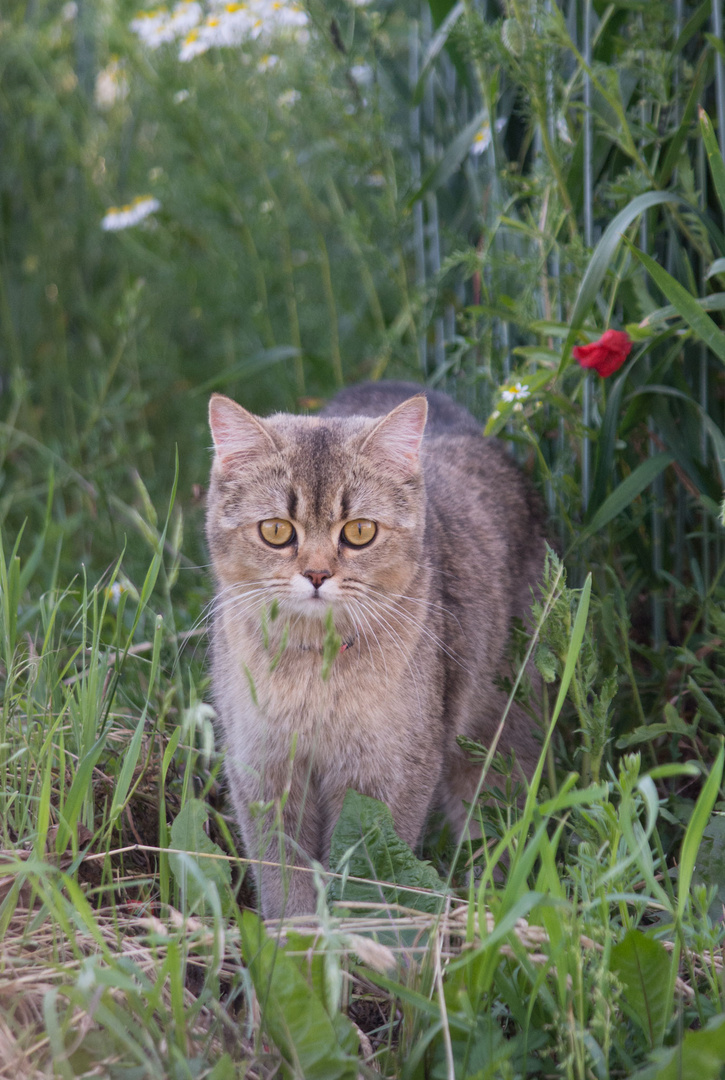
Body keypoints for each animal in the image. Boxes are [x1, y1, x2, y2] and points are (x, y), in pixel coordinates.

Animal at [205, 384, 544, 915]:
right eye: (276, 531)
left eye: (359, 531)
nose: (317, 574)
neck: (314, 672)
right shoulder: (264, 775)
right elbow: (285, 883)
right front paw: (294, 936)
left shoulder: (388, 779)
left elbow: (369, 879)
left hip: (502, 743)